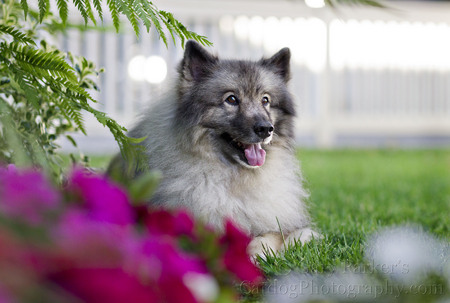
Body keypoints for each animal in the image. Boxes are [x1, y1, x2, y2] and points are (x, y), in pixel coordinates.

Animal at [108, 41, 318, 258]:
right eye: (232, 99)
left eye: (265, 100)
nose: (266, 129)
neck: (235, 178)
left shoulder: (284, 226)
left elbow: (273, 236)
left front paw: (257, 252)